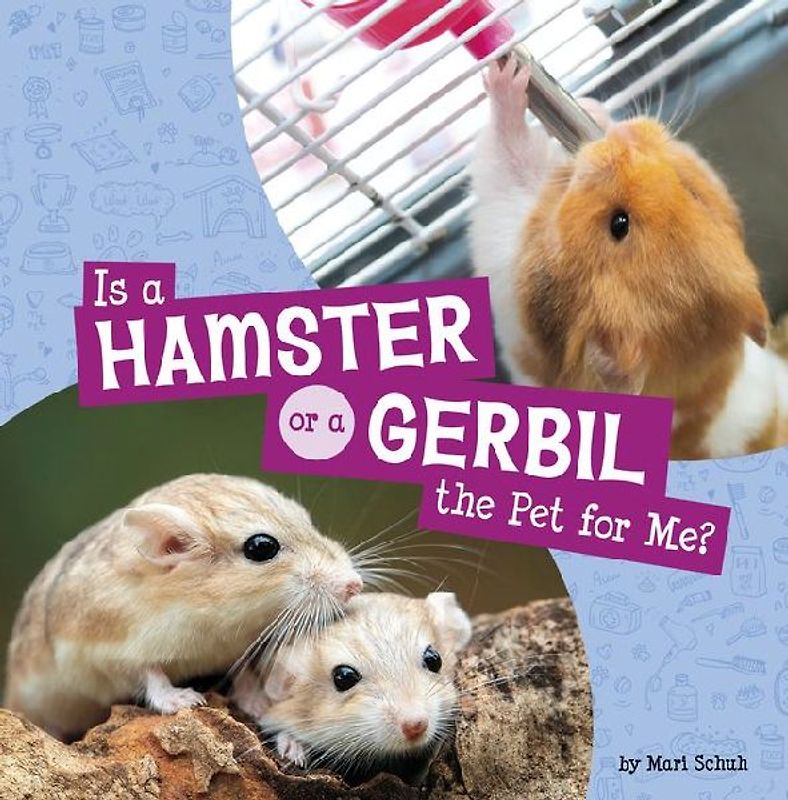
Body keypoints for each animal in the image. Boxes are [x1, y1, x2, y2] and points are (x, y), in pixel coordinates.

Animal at [4, 474, 363, 740]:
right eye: (261, 547)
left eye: (307, 520)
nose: (354, 586)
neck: (209, 610)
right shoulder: (109, 652)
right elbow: (150, 673)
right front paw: (185, 700)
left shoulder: (237, 646)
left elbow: (243, 670)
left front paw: (258, 703)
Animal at [470, 58, 787, 460]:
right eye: (693, 192)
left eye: (618, 223)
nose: (627, 136)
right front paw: (590, 110)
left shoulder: (511, 268)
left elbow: (508, 165)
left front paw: (509, 79)